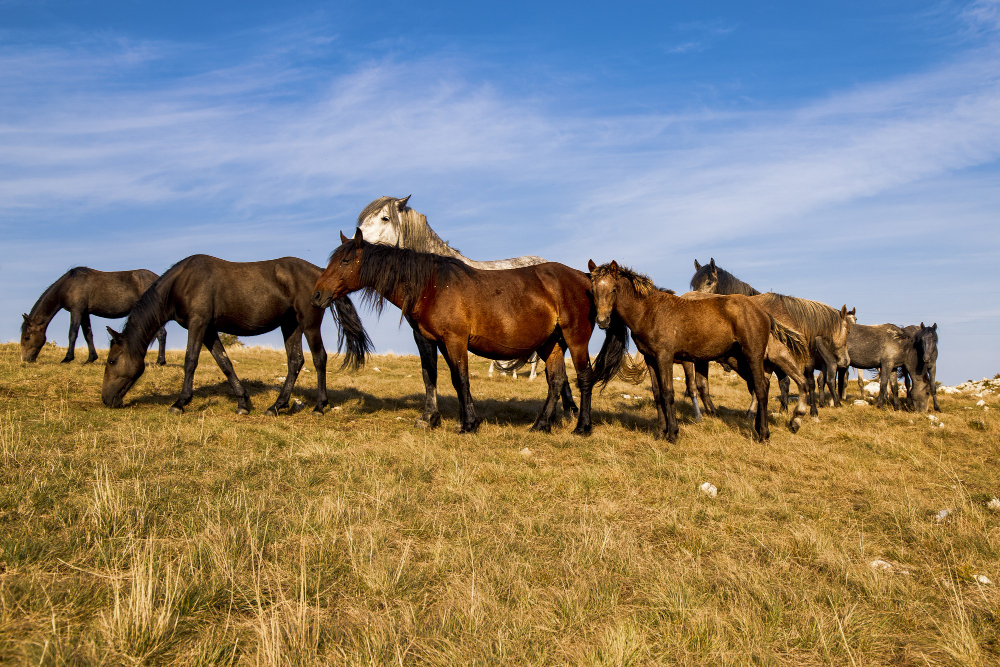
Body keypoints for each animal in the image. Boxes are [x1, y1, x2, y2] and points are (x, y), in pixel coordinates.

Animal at [21, 268, 167, 364]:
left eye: (27, 337)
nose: (25, 360)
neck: (69, 285)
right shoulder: (85, 313)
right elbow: (88, 335)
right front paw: (91, 358)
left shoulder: (76, 311)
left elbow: (72, 333)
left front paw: (67, 358)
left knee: (161, 334)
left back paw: (160, 361)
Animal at [102, 255, 370, 416]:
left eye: (112, 361)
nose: (106, 399)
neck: (183, 282)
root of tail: (320, 274)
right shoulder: (208, 329)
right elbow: (225, 363)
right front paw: (243, 403)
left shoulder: (198, 324)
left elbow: (190, 361)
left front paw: (180, 403)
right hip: (290, 325)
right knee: (295, 362)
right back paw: (276, 406)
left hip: (309, 323)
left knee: (319, 359)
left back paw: (319, 406)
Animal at [312, 229, 628, 434]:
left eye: (344, 261)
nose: (316, 295)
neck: (432, 286)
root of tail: (585, 279)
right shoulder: (431, 340)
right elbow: (433, 376)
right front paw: (432, 419)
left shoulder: (455, 340)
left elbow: (460, 379)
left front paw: (468, 424)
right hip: (551, 343)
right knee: (556, 380)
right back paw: (540, 425)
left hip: (575, 339)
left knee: (583, 378)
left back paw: (582, 427)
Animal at [588, 260, 797, 441]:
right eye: (593, 290)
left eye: (614, 290)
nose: (602, 321)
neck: (649, 311)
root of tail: (762, 312)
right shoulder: (651, 359)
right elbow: (657, 395)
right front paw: (660, 433)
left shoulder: (664, 357)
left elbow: (668, 393)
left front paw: (673, 433)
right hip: (738, 359)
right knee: (761, 386)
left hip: (753, 355)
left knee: (761, 388)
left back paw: (764, 434)